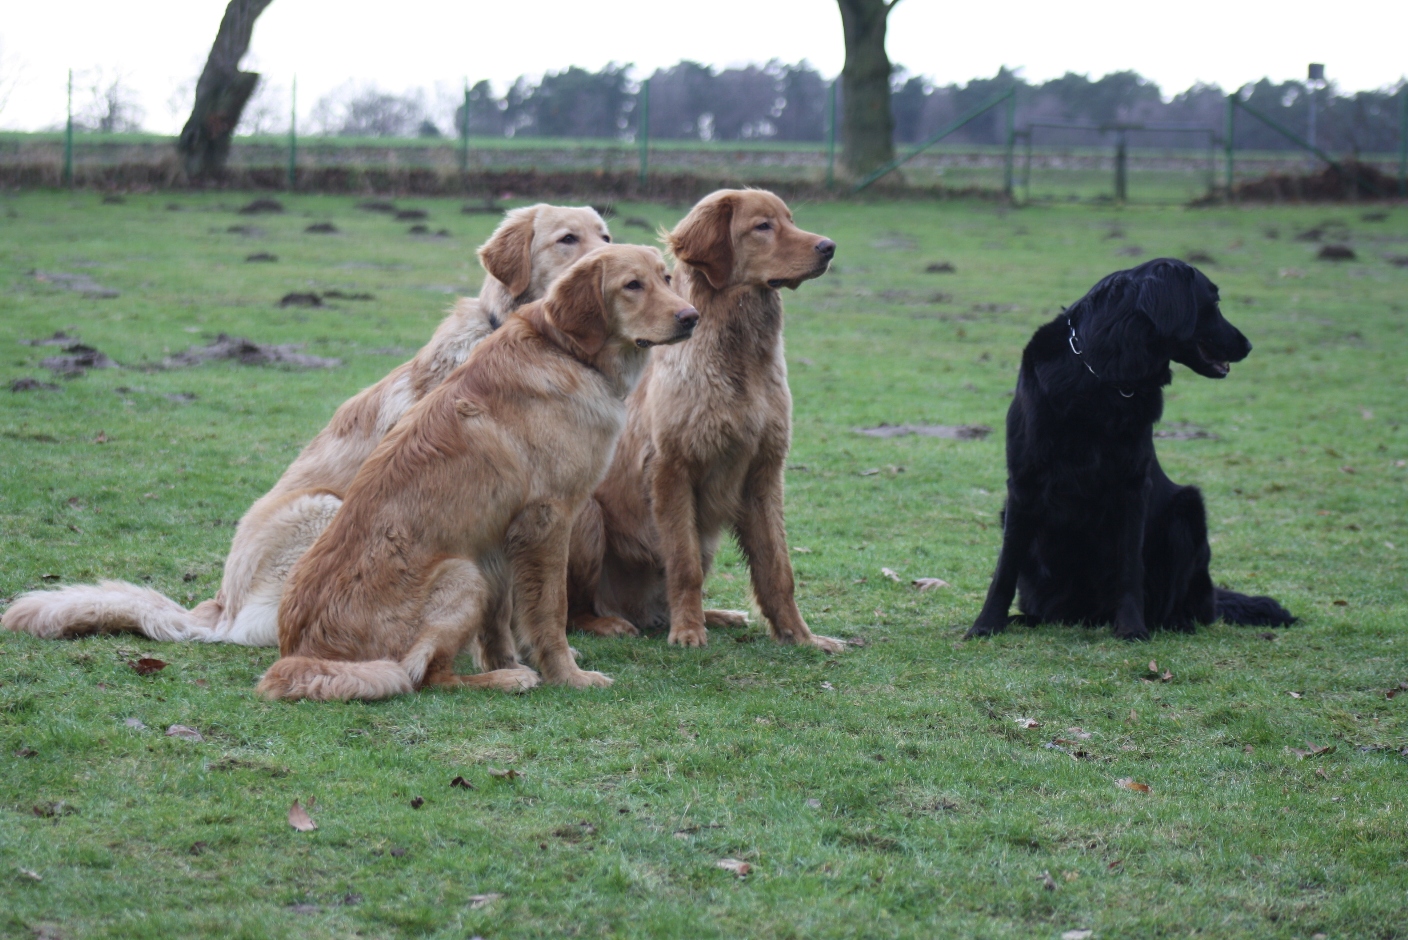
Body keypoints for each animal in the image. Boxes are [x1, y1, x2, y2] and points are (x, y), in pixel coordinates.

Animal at [256, 245, 698, 700]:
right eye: (633, 285)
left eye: (666, 278)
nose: (691, 317)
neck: (564, 350)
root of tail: (301, 655)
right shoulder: (547, 520)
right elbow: (550, 612)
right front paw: (566, 676)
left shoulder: (496, 539)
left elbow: (498, 626)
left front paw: (512, 661)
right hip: (462, 574)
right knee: (428, 677)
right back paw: (505, 681)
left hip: (473, 570)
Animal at [566, 189, 844, 652]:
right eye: (763, 226)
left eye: (789, 219)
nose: (829, 247)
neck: (740, 358)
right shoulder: (672, 471)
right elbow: (684, 565)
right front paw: (688, 632)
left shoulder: (764, 471)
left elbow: (777, 570)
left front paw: (800, 635)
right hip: (585, 515)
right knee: (573, 610)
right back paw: (614, 623)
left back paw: (716, 616)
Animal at [966, 258, 1295, 641]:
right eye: (1213, 303)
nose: (1249, 345)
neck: (1106, 373)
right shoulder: (1023, 483)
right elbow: (1006, 566)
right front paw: (986, 623)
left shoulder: (1132, 486)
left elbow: (1129, 567)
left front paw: (1132, 628)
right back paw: (1030, 618)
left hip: (1187, 510)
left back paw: (1174, 621)